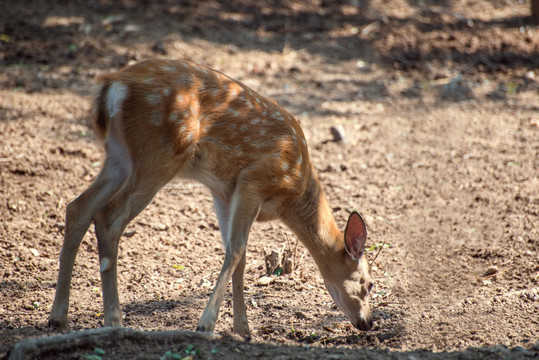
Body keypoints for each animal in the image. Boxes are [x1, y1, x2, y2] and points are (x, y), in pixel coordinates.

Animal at [48, 57, 374, 336]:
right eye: (369, 284)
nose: (368, 322)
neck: (294, 191)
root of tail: (114, 84)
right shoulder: (255, 180)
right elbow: (237, 251)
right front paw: (207, 324)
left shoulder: (224, 191)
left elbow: (237, 253)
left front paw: (243, 330)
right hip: (159, 155)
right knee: (108, 218)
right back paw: (114, 320)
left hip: (119, 157)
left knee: (77, 207)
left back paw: (58, 318)